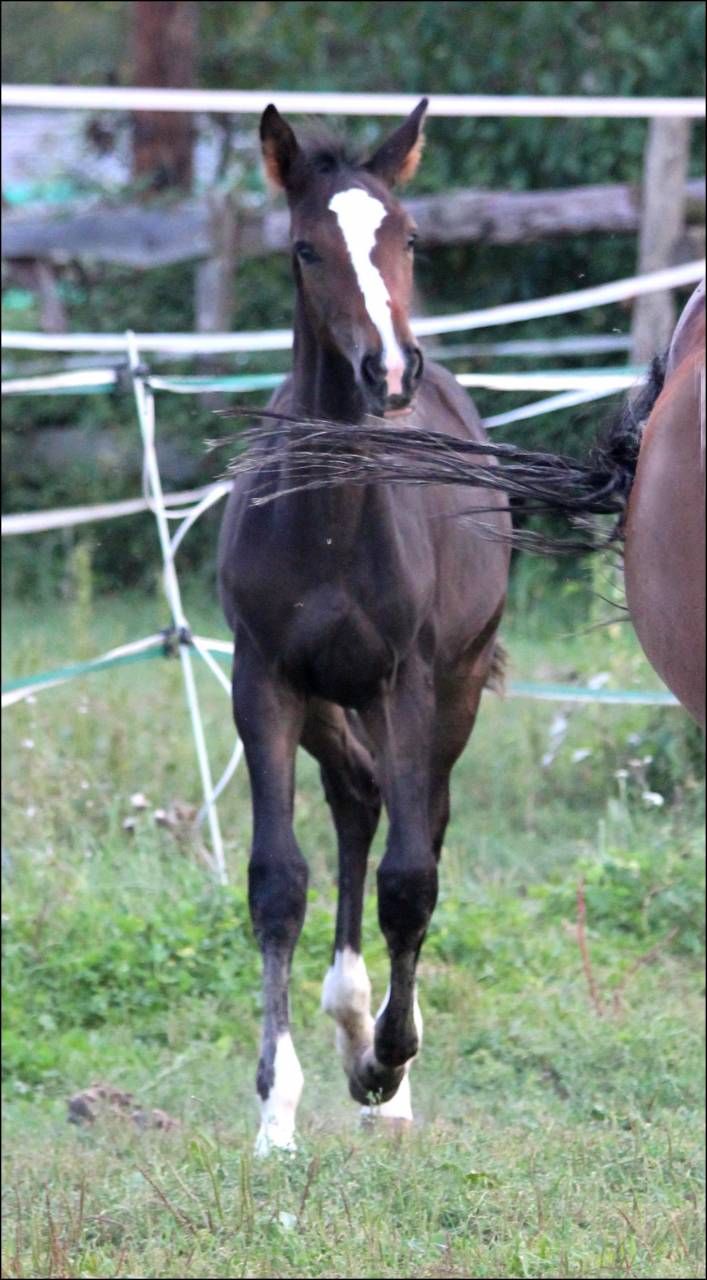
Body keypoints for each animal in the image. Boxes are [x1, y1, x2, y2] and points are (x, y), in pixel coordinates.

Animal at [218, 100, 511, 1154]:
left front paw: (389, 1066)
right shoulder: (263, 680)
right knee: (354, 797)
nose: (388, 368)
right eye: (306, 248)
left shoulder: (411, 682)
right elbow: (277, 881)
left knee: (417, 825)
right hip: (329, 702)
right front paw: (276, 1113)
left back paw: (387, 1062)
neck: (333, 516)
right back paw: (348, 1018)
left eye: (409, 238)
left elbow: (410, 880)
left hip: (449, 692)